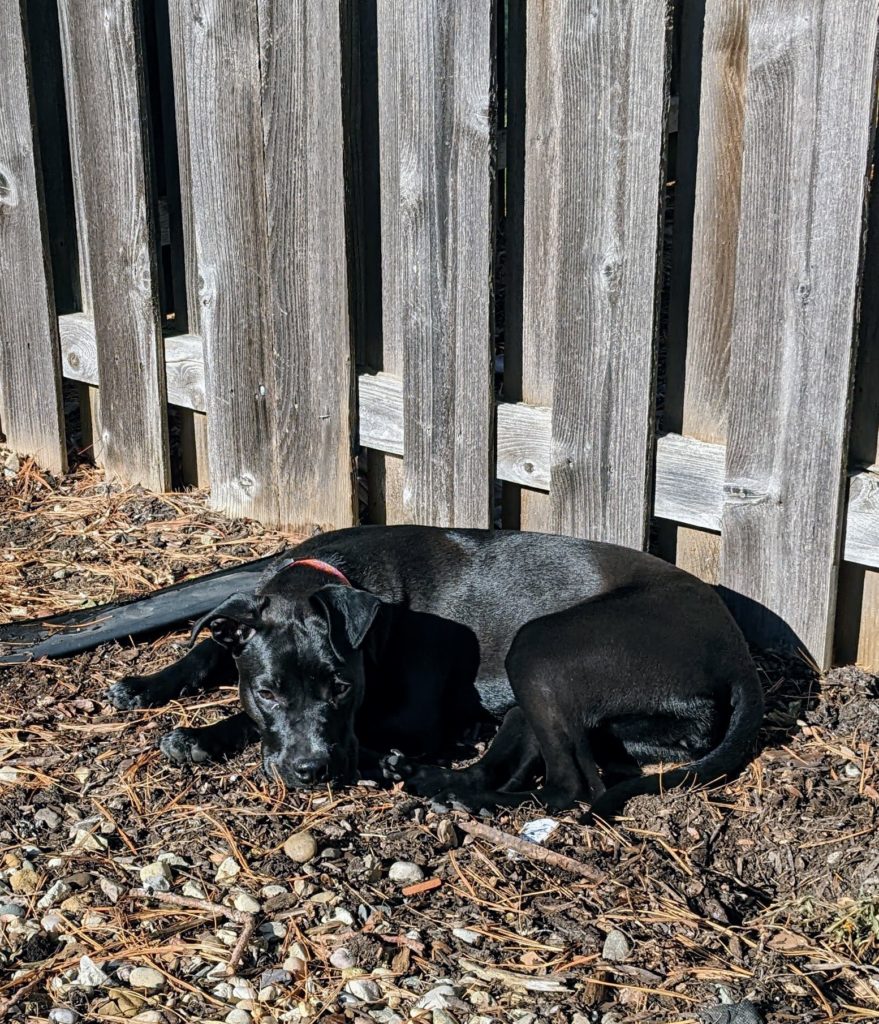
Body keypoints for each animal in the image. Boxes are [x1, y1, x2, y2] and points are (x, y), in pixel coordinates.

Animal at [104, 528, 762, 815]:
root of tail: (737, 654)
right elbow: (211, 649)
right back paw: (438, 780)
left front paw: (208, 734)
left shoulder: (408, 717)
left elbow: (361, 730)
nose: (312, 772)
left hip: (536, 649)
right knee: (515, 758)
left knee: (571, 788)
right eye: (266, 690)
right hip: (550, 695)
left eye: (341, 688)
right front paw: (148, 687)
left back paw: (440, 790)